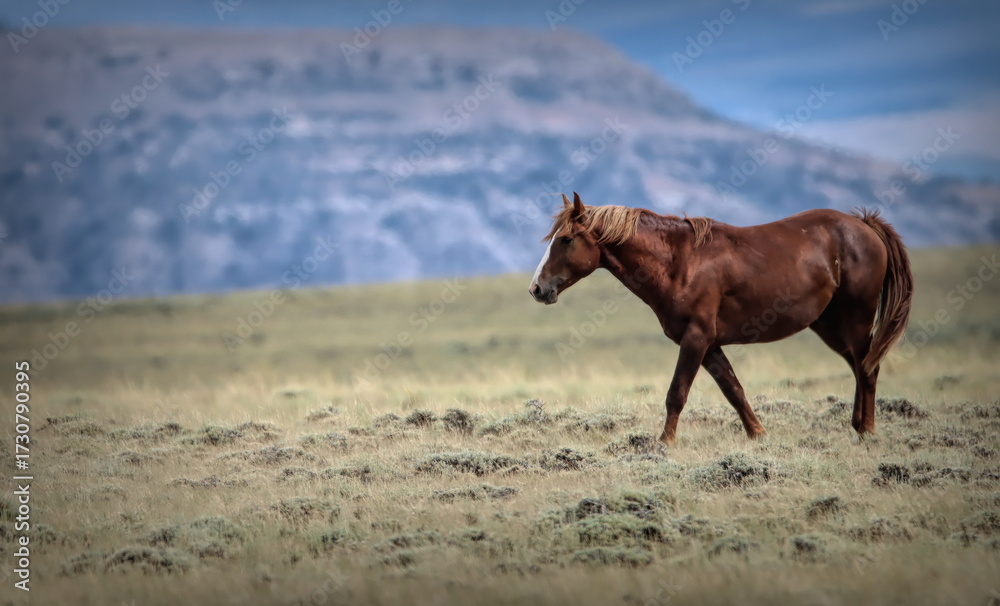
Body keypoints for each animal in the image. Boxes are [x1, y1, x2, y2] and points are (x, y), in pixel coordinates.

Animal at [528, 192, 913, 444]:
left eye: (565, 239)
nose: (536, 288)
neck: (679, 262)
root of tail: (863, 225)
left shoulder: (695, 339)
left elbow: (677, 394)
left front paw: (664, 445)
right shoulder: (709, 345)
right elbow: (734, 390)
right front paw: (758, 435)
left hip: (856, 319)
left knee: (868, 368)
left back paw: (867, 431)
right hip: (830, 326)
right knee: (860, 366)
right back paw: (858, 426)